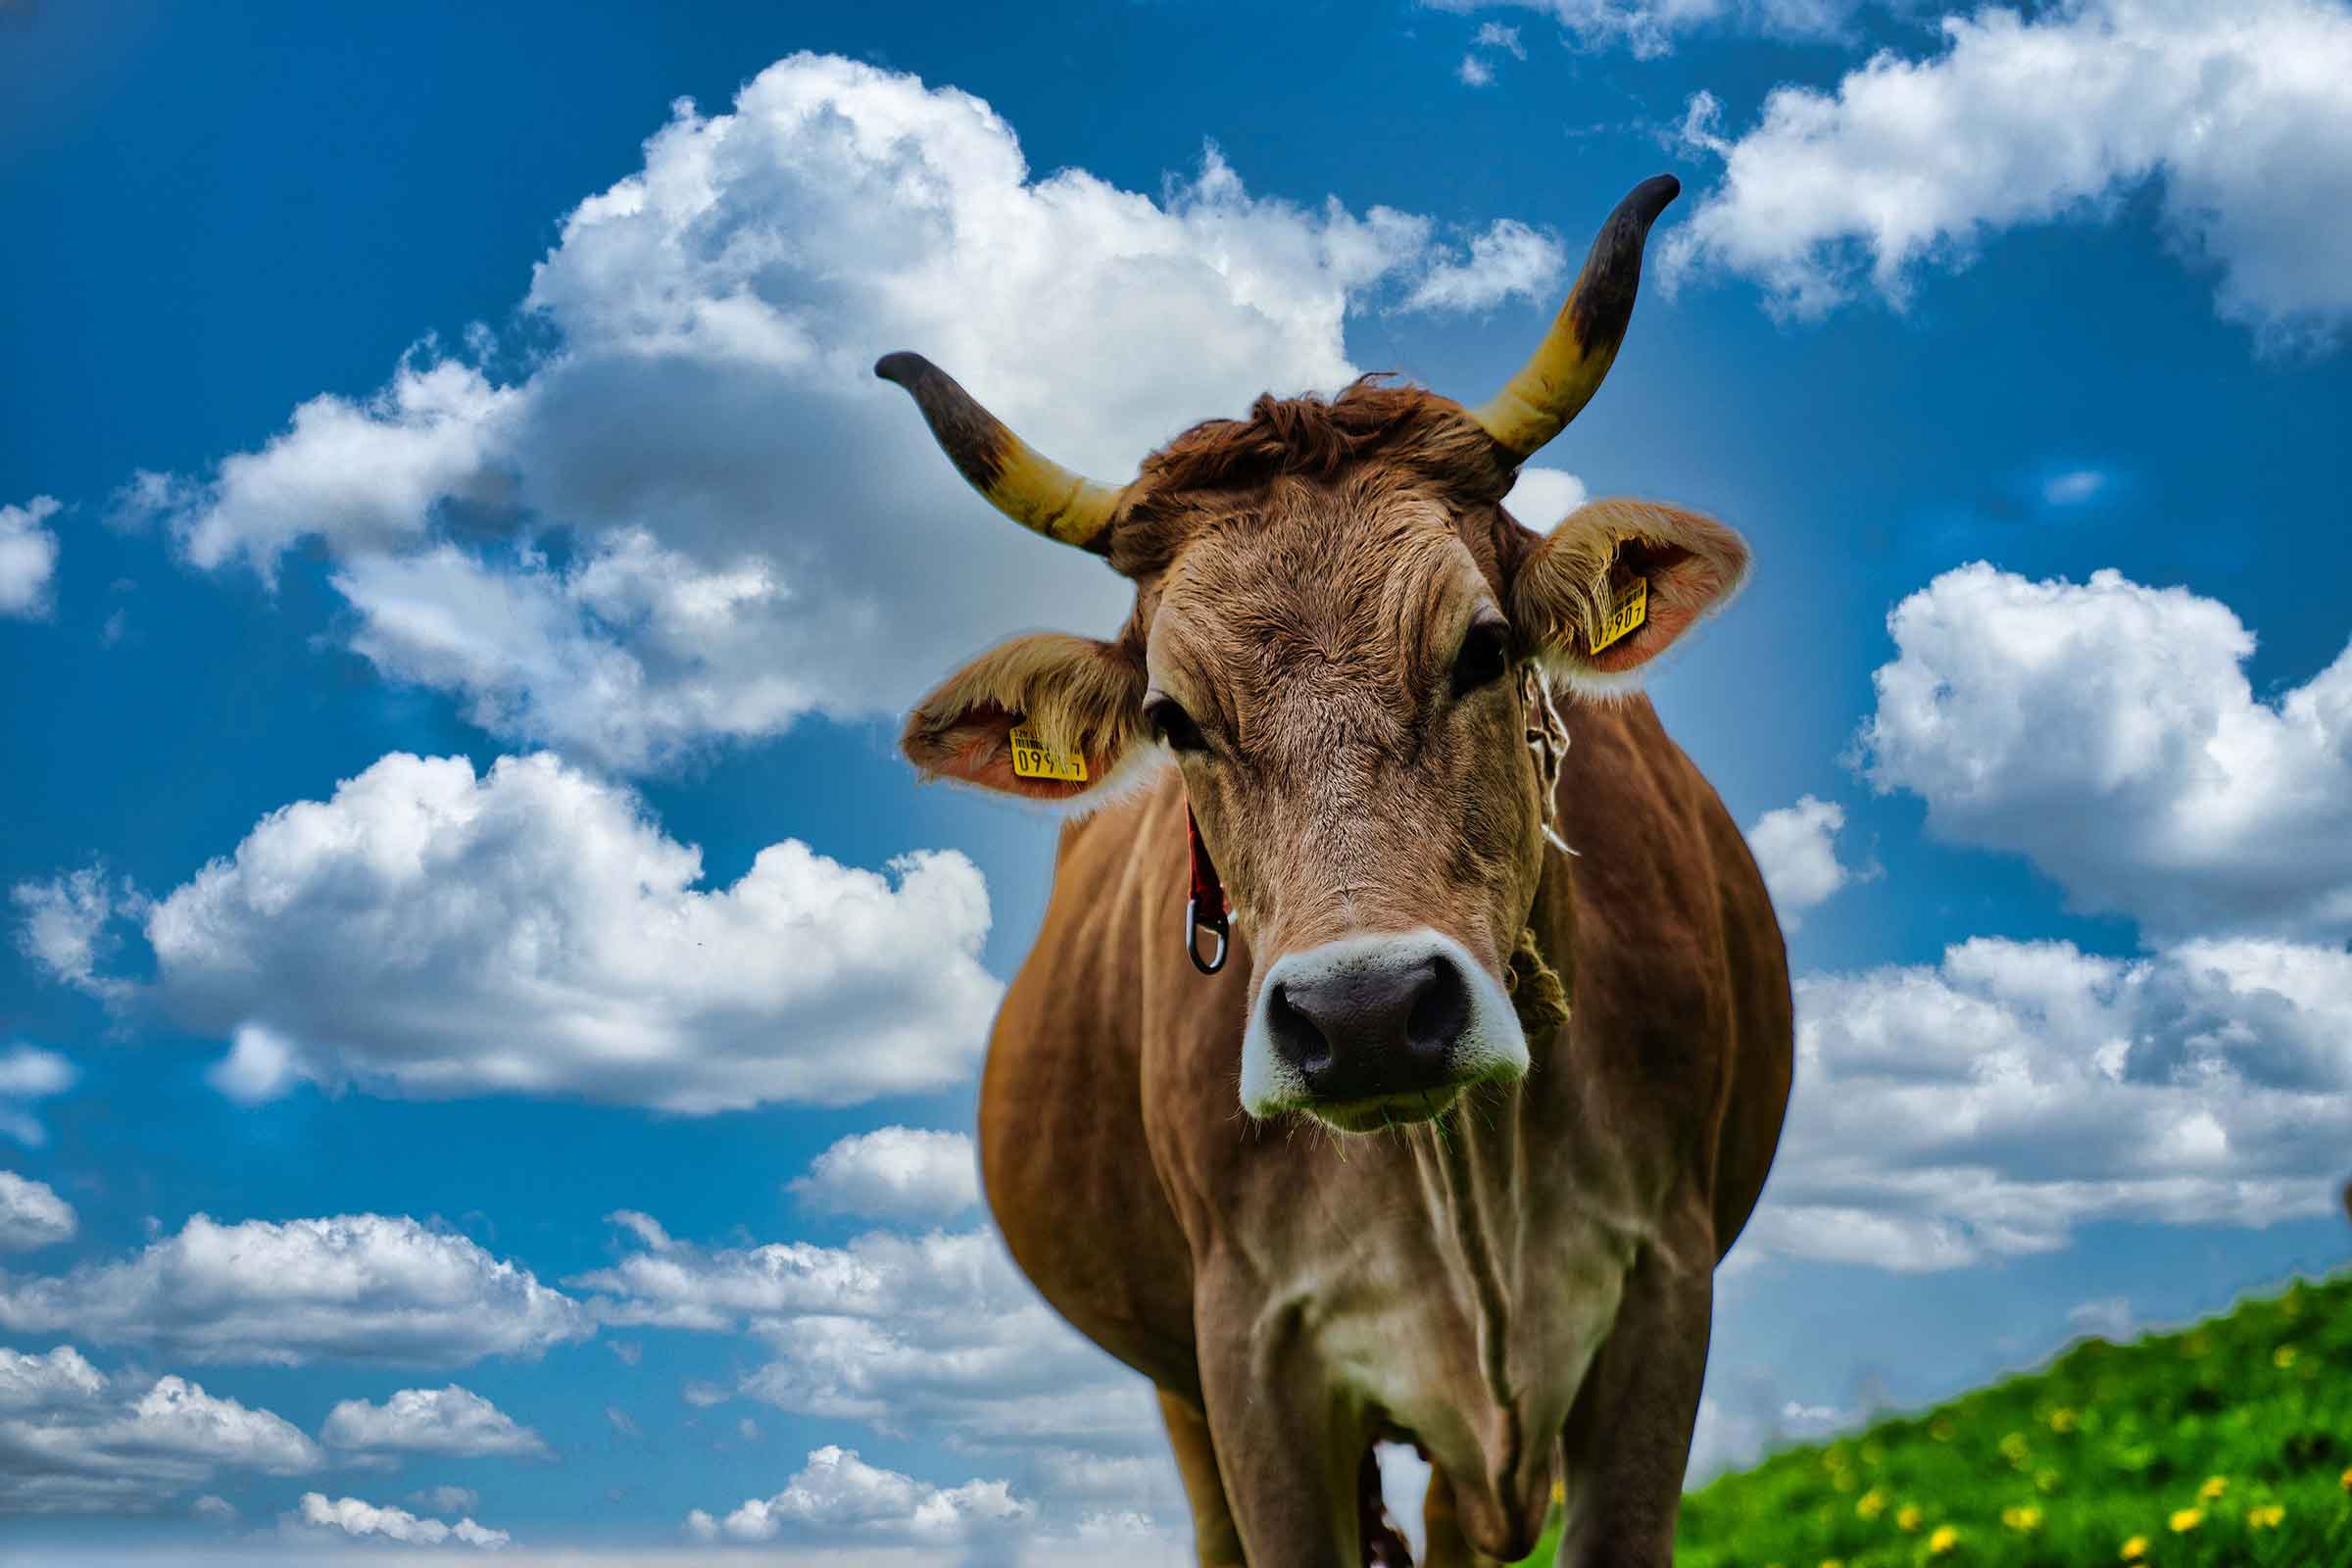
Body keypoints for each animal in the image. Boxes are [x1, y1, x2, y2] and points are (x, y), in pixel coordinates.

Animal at [879, 174, 1792, 1567]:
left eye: (1484, 647)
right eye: (1173, 718)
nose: (1362, 1016)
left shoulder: (1661, 1291)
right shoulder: (1250, 1352)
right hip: (1177, 1377)